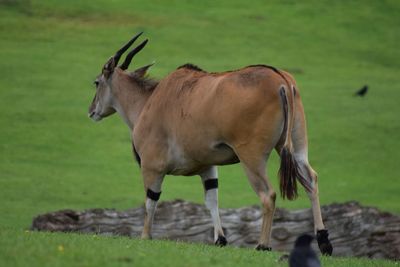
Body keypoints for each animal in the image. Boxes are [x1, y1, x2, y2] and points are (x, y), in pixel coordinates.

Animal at [88, 33, 334, 255]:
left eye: (97, 82)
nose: (92, 111)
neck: (149, 101)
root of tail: (281, 80)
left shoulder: (152, 167)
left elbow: (151, 202)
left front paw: (145, 236)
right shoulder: (208, 168)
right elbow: (212, 200)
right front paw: (220, 240)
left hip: (252, 159)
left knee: (268, 195)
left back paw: (263, 245)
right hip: (298, 150)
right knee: (311, 181)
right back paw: (324, 243)